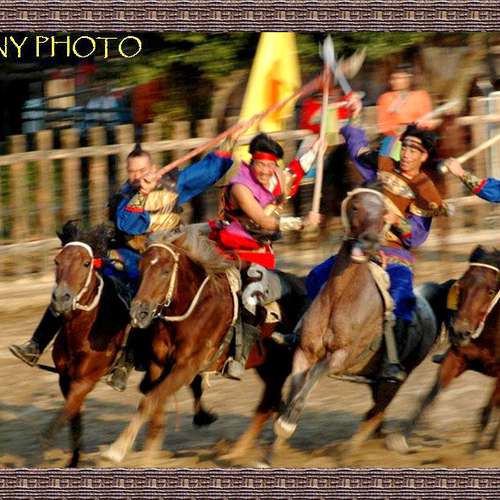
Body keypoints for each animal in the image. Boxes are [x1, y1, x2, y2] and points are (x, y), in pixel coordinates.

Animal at [42, 221, 216, 467]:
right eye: (57, 261)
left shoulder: (85, 381)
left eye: (86, 263)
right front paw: (74, 460)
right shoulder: (65, 380)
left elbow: (63, 416)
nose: (60, 298)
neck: (83, 331)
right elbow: (73, 420)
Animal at [101, 228, 306, 465]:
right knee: (273, 403)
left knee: (267, 404)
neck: (193, 310)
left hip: (279, 368)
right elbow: (154, 402)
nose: (139, 312)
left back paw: (239, 452)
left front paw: (117, 449)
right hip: (267, 368)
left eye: (165, 271)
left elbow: (151, 400)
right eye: (141, 268)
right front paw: (150, 453)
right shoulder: (157, 364)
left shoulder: (186, 367)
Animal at [272, 186, 440, 460]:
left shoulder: (341, 356)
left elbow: (314, 375)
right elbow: (295, 386)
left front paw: (287, 423)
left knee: (376, 413)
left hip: (398, 378)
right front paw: (274, 447)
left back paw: (349, 451)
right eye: (355, 207)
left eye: (384, 213)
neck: (341, 298)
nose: (370, 241)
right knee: (375, 412)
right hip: (376, 379)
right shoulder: (304, 351)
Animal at [387, 245, 500, 454]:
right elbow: (430, 397)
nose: (460, 332)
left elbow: (487, 411)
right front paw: (401, 438)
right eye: (461, 286)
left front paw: (474, 452)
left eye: (491, 291)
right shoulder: (456, 358)